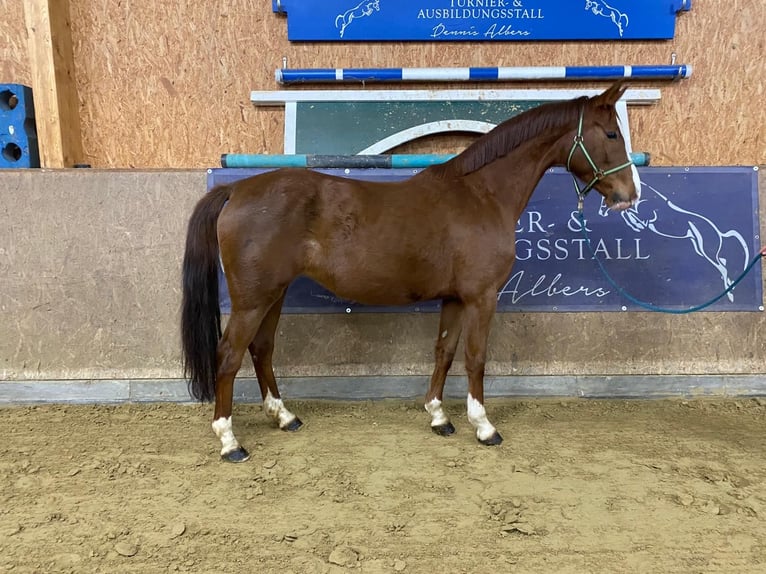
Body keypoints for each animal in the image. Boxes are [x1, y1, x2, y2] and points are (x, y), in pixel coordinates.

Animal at [181, 82, 641, 462]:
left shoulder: (455, 297)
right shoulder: (481, 296)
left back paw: (285, 417)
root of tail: (236, 189)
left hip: (272, 295)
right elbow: (476, 357)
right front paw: (484, 426)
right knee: (229, 355)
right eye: (611, 135)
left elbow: (444, 351)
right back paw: (230, 441)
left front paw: (439, 417)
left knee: (261, 349)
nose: (629, 195)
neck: (481, 195)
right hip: (252, 300)